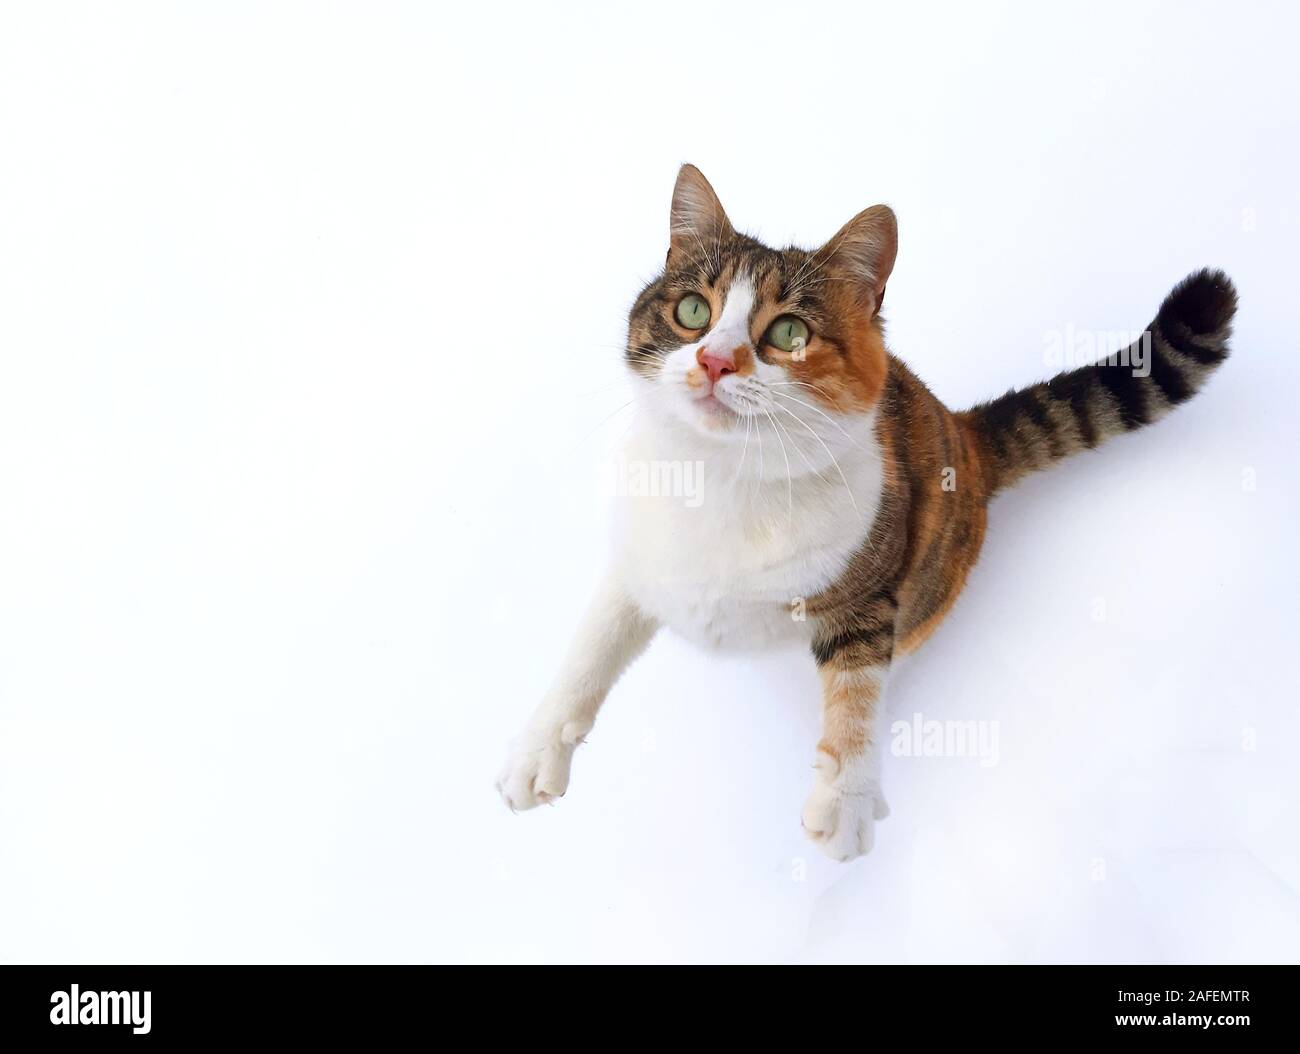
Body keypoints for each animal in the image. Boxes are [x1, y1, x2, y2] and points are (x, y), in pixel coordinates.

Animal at [491, 163, 1232, 857]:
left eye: (789, 331)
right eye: (694, 312)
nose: (716, 361)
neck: (723, 477)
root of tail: (960, 430)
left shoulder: (865, 593)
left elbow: (856, 695)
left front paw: (844, 799)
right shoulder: (636, 562)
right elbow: (589, 650)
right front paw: (537, 749)